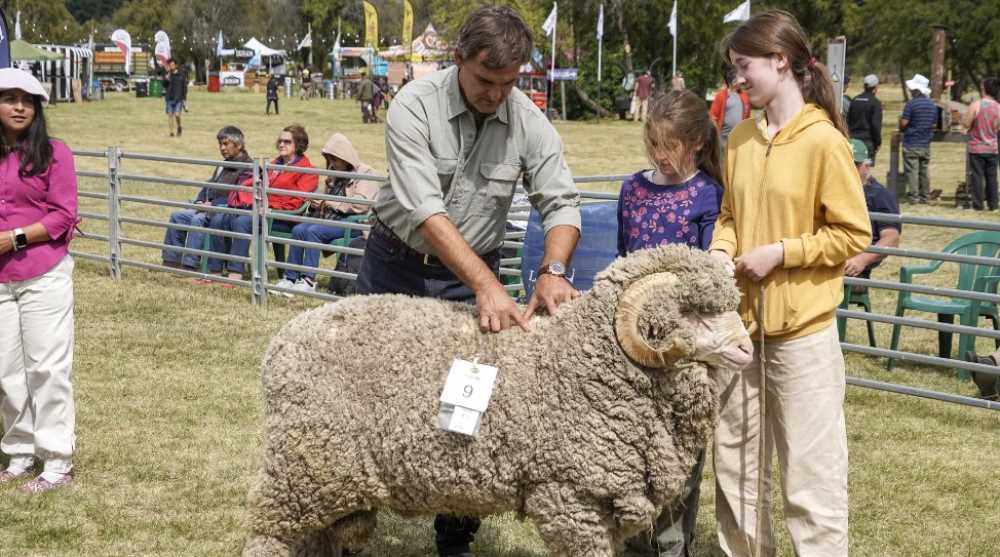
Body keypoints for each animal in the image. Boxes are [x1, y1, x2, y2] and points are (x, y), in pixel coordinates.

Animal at [244, 244, 752, 556]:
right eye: (692, 313)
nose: (747, 349)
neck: (587, 361)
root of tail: (282, 342)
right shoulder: (569, 497)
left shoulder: (603, 504)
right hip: (302, 467)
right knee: (268, 536)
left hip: (323, 478)